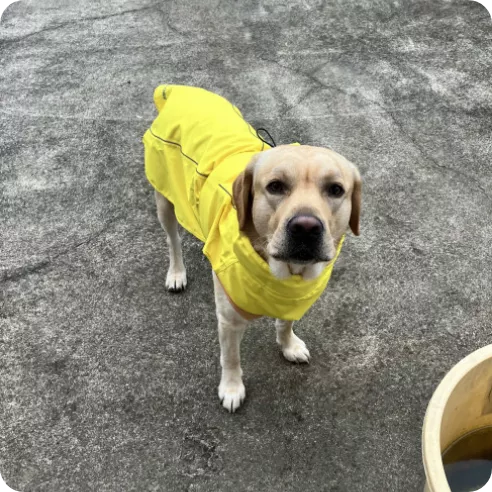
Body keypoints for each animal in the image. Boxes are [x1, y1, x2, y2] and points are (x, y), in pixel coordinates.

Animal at [143, 84, 362, 412]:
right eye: (275, 186)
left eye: (336, 190)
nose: (306, 227)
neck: (282, 273)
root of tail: (179, 91)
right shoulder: (229, 320)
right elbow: (231, 358)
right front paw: (232, 388)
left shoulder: (293, 298)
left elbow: (285, 323)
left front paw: (288, 345)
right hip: (165, 199)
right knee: (172, 240)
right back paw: (176, 273)